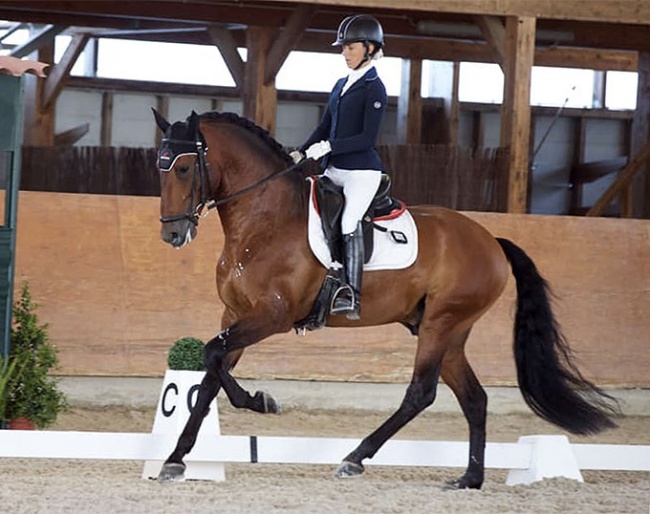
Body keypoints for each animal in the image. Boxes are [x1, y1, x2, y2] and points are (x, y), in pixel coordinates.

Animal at [151, 108, 618, 489]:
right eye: (161, 168)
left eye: (185, 168)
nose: (172, 234)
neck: (264, 219)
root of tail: (491, 241)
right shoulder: (235, 313)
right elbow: (211, 375)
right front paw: (175, 459)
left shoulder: (272, 316)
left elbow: (212, 356)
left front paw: (261, 402)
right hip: (449, 331)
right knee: (474, 398)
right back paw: (469, 479)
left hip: (440, 324)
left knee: (421, 393)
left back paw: (355, 458)